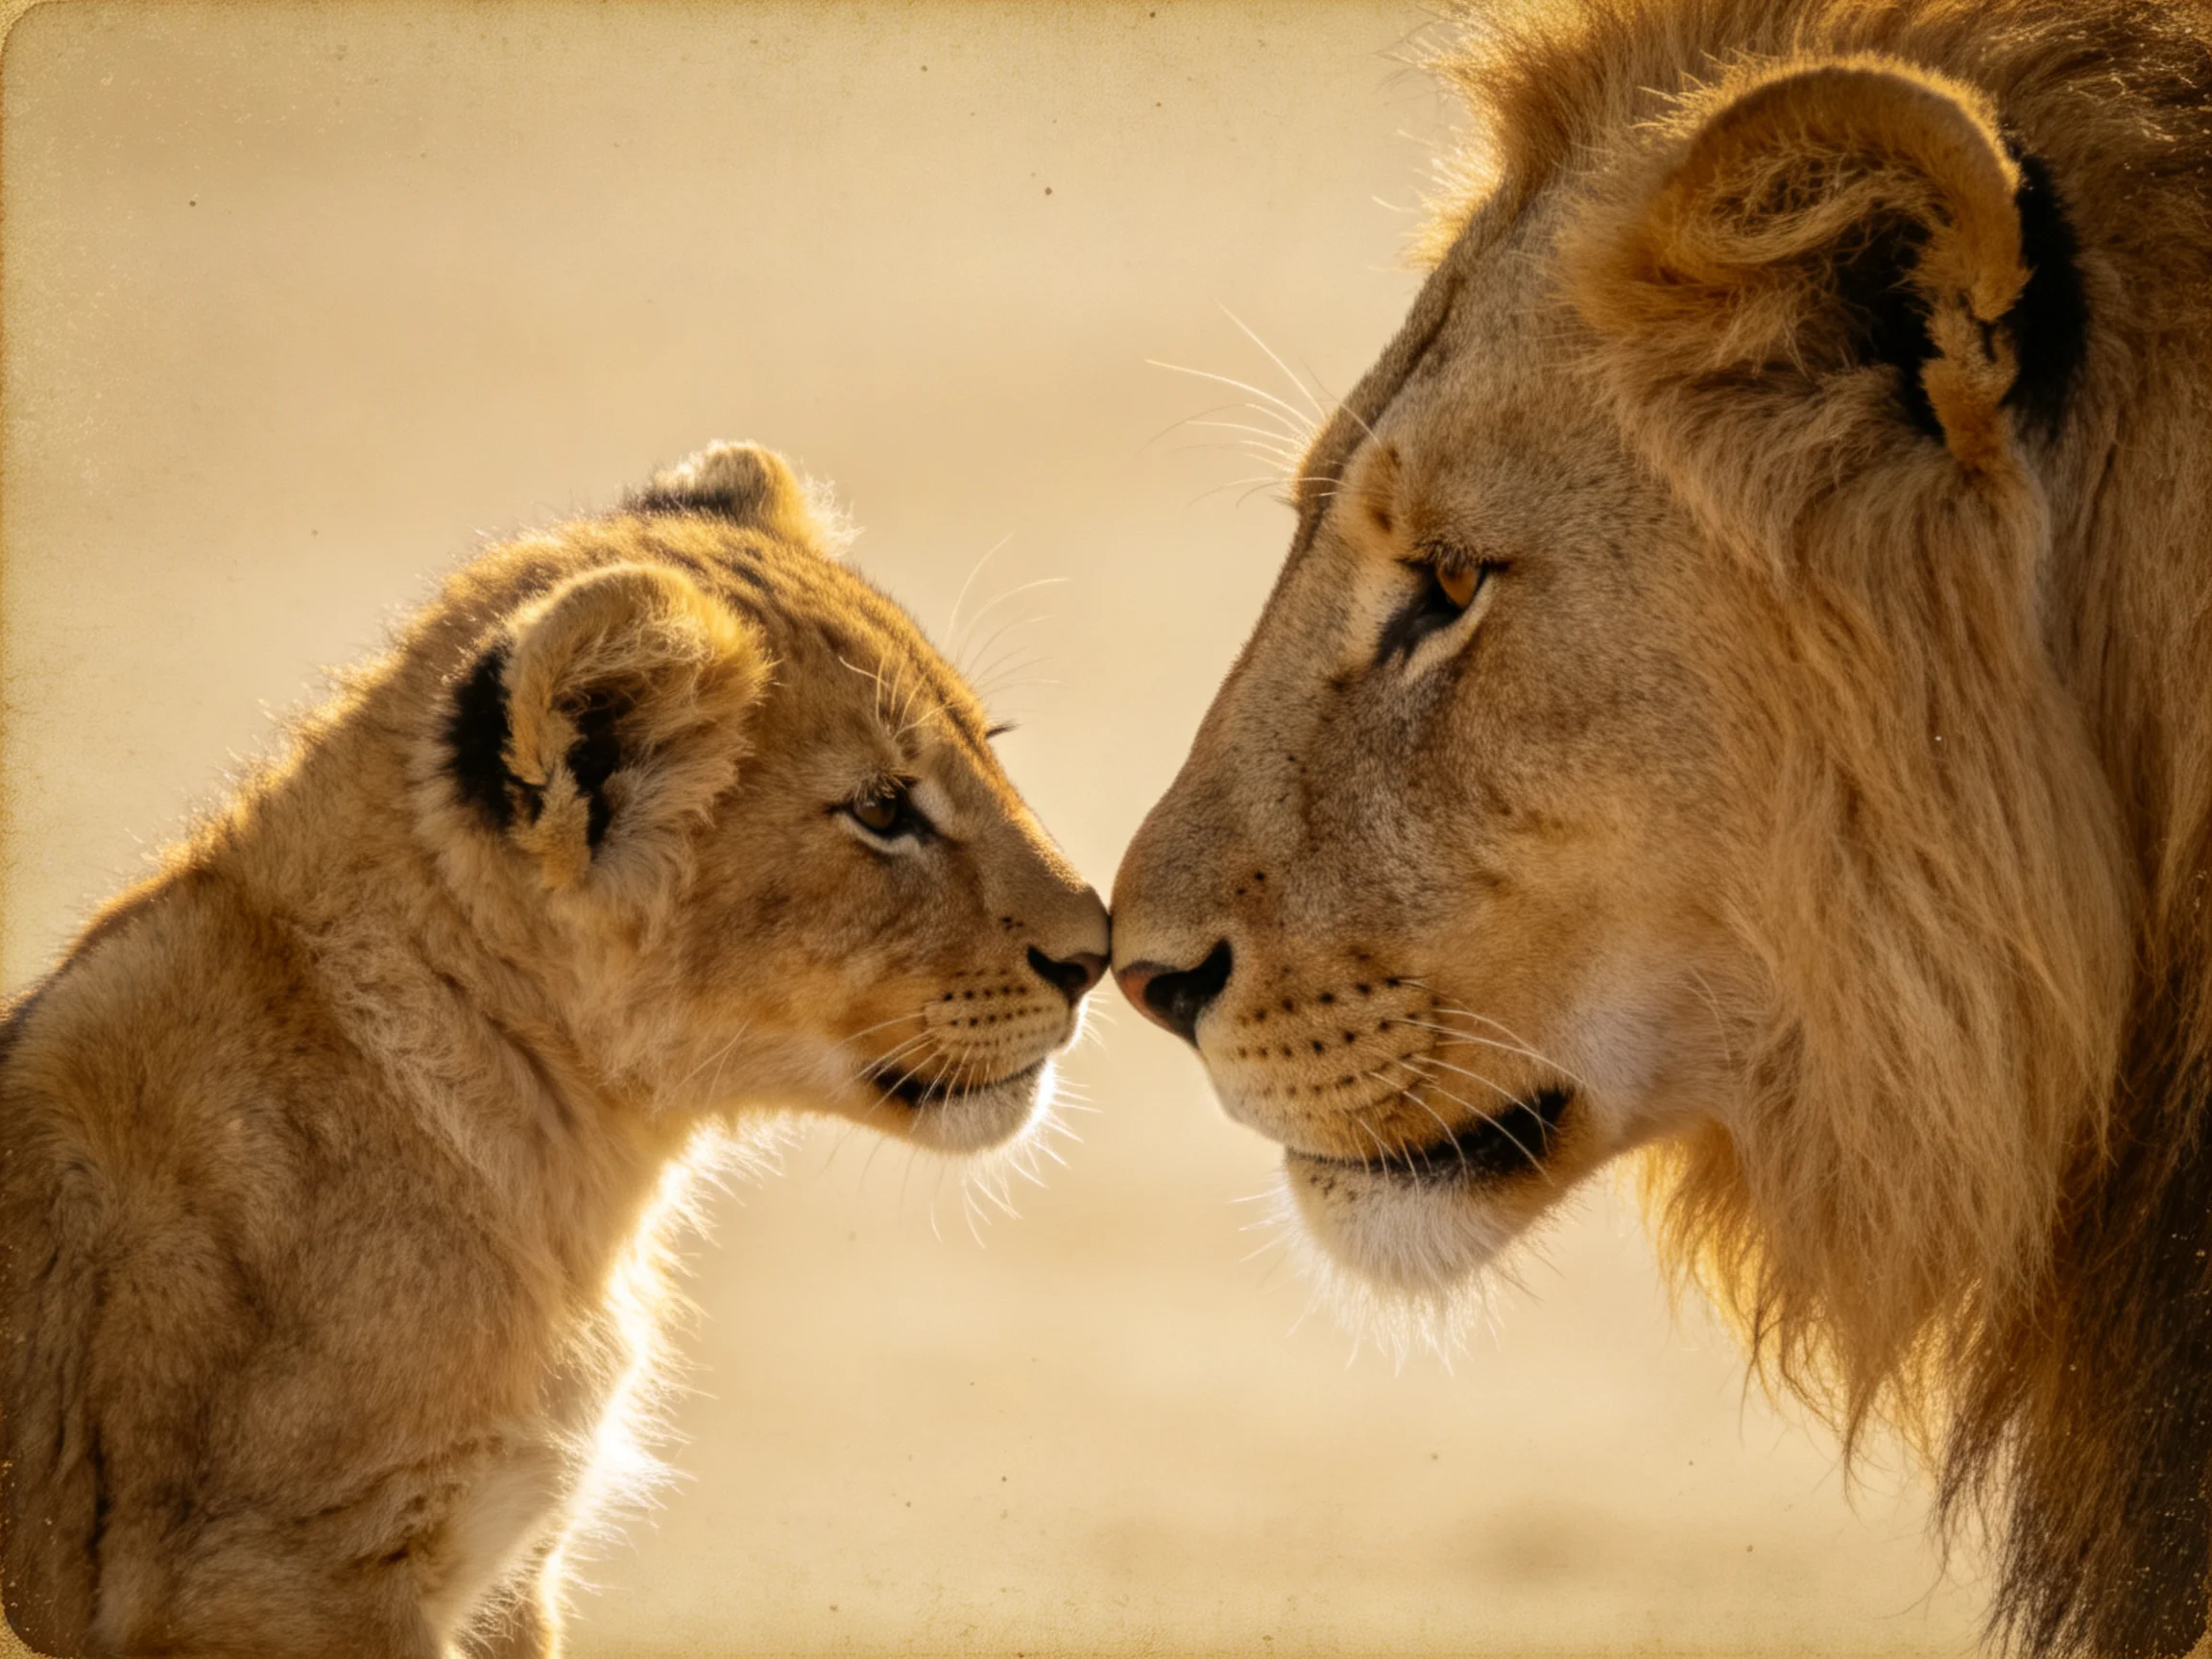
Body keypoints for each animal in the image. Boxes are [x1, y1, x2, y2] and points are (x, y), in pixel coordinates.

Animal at [0, 440, 1109, 1659]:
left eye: (988, 747)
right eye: (878, 810)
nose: (1095, 955)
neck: (573, 1160)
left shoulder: (506, 1568)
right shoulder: (271, 1578)